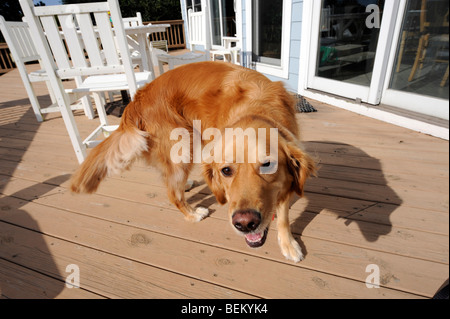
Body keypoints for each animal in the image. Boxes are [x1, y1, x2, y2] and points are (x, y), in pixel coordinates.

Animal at [71, 60, 316, 262]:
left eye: (268, 165)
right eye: (226, 170)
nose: (245, 223)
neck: (255, 109)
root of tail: (134, 103)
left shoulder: (286, 181)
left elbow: (283, 215)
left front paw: (288, 244)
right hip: (184, 146)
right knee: (172, 193)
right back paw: (193, 213)